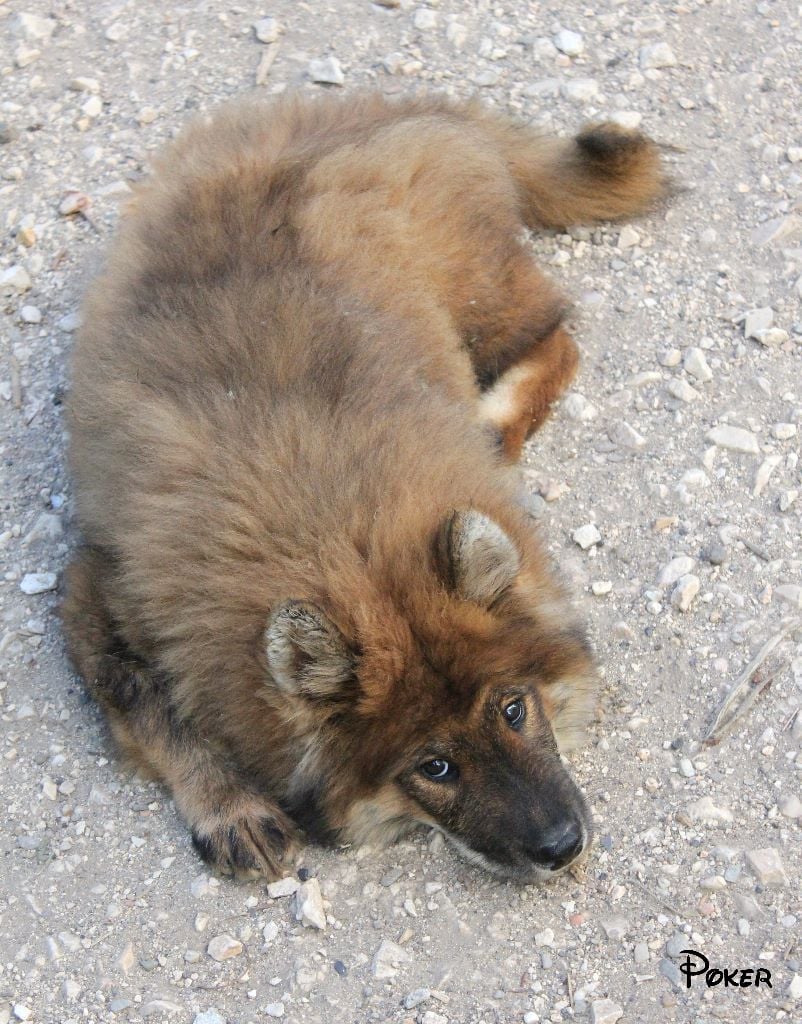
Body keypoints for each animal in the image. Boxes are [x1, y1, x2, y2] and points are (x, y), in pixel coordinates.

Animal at [61, 94, 663, 880]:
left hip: (477, 297)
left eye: (513, 710)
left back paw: (488, 424)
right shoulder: (99, 587)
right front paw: (231, 807)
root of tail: (381, 107)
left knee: (557, 338)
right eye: (434, 767)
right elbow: (148, 705)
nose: (564, 848)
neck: (332, 519)